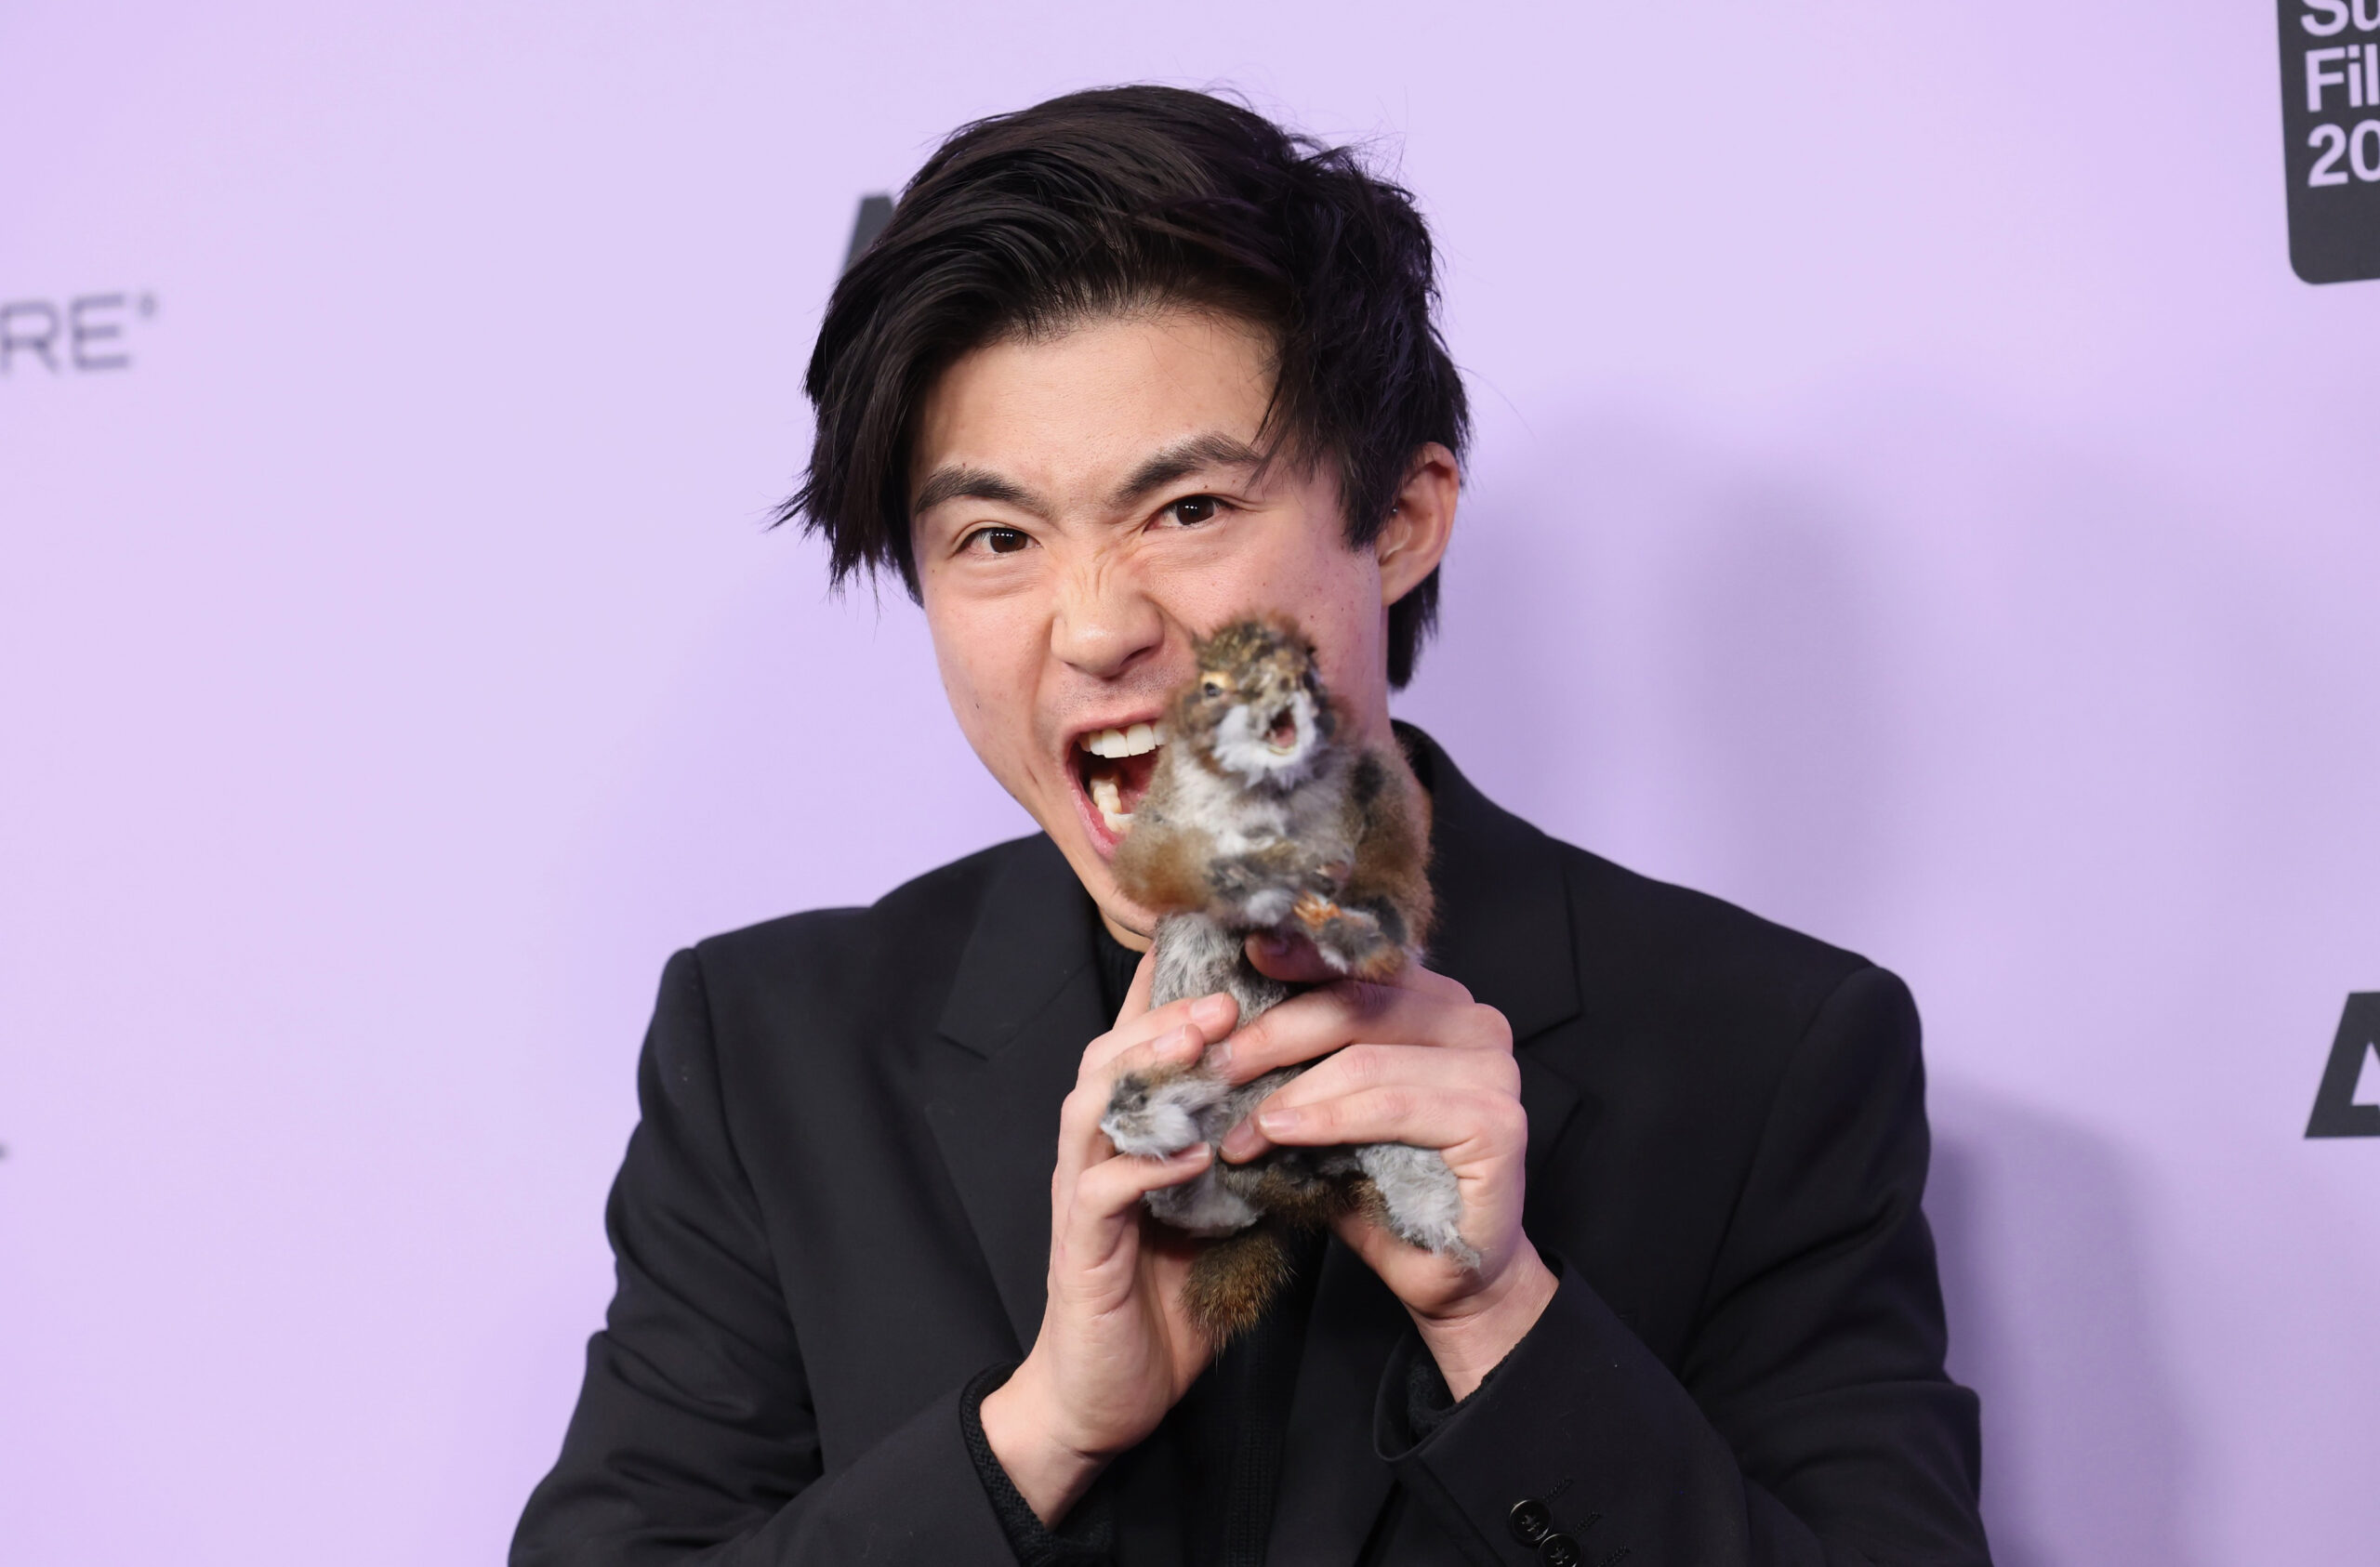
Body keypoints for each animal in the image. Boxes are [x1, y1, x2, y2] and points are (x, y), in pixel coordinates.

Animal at [1094, 618, 1465, 1340]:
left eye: (1312, 664)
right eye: (1210, 685)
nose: (1283, 694)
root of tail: (1273, 1183)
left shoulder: (1376, 811)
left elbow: (1393, 896)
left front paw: (1345, 929)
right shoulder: (1164, 826)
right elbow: (1172, 862)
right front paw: (1259, 876)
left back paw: (1436, 1224)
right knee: (1186, 1194)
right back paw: (1159, 1131)